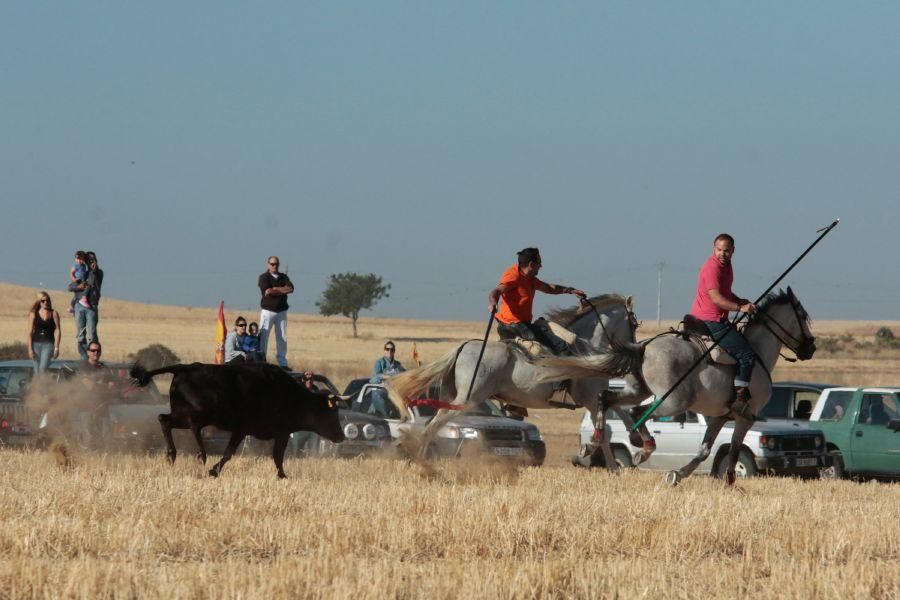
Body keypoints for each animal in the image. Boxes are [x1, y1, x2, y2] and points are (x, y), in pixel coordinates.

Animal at [130, 360, 344, 478]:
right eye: (331, 413)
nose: (341, 436)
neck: (290, 395)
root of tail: (184, 368)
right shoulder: (278, 432)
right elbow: (276, 456)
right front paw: (283, 475)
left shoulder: (242, 431)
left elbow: (229, 453)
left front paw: (214, 471)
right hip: (200, 413)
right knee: (194, 426)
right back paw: (201, 455)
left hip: (180, 414)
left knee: (164, 419)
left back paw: (171, 454)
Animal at [384, 296, 636, 468]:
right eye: (634, 324)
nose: (635, 348)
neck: (586, 347)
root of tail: (463, 348)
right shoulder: (592, 399)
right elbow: (603, 432)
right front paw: (594, 456)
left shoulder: (599, 399)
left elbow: (617, 416)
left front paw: (636, 443)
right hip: (468, 399)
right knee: (434, 425)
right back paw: (422, 462)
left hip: (451, 396)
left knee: (432, 423)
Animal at [536, 288, 820, 488]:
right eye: (803, 317)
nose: (810, 348)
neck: (758, 352)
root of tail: (644, 348)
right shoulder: (745, 417)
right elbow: (734, 449)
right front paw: (731, 482)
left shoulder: (720, 416)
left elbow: (705, 451)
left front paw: (676, 475)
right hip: (674, 400)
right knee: (638, 413)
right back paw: (642, 448)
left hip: (639, 390)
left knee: (606, 399)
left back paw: (593, 442)